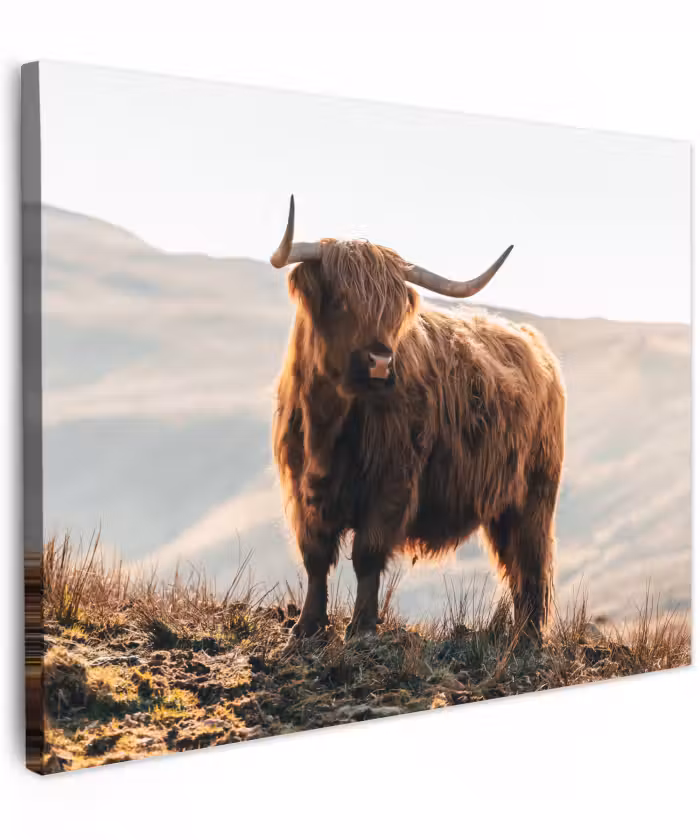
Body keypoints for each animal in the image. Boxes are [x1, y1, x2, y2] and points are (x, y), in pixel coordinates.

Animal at [270, 196, 565, 641]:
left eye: (393, 312)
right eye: (341, 300)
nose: (380, 361)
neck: (329, 423)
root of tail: (534, 342)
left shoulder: (392, 482)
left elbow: (367, 554)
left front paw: (361, 627)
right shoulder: (302, 487)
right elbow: (316, 556)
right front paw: (307, 627)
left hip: (534, 495)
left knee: (529, 565)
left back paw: (527, 639)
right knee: (516, 566)